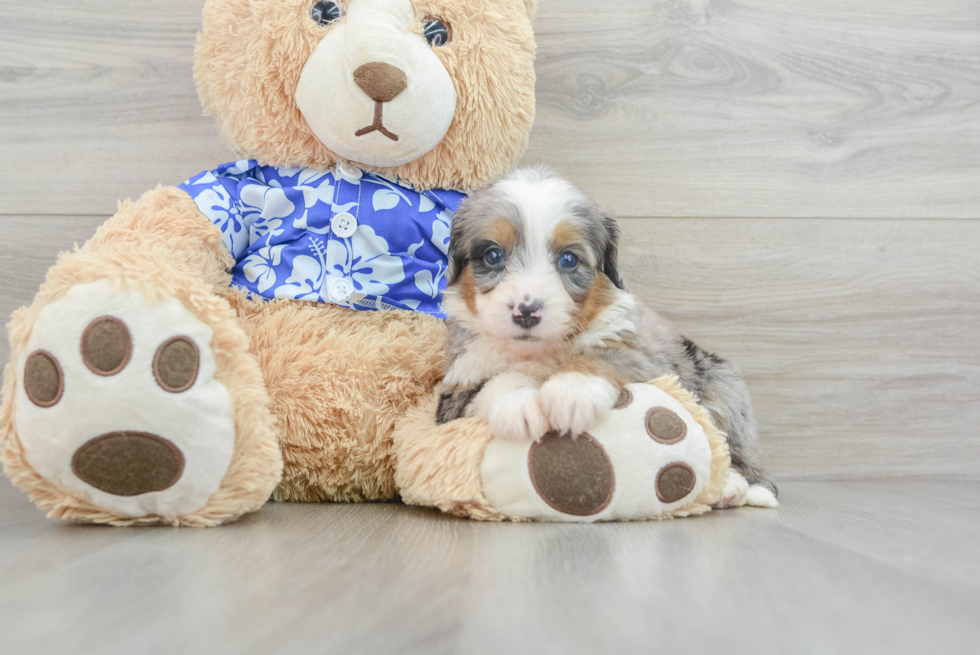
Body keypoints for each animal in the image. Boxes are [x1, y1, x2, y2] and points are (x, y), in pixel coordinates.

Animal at [440, 167, 776, 504]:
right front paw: (520, 405)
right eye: (493, 255)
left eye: (568, 259)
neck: (541, 351)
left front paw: (571, 392)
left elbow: (602, 355)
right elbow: (492, 385)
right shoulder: (453, 392)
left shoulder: (646, 359)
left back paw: (734, 486)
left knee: (735, 451)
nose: (527, 311)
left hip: (725, 391)